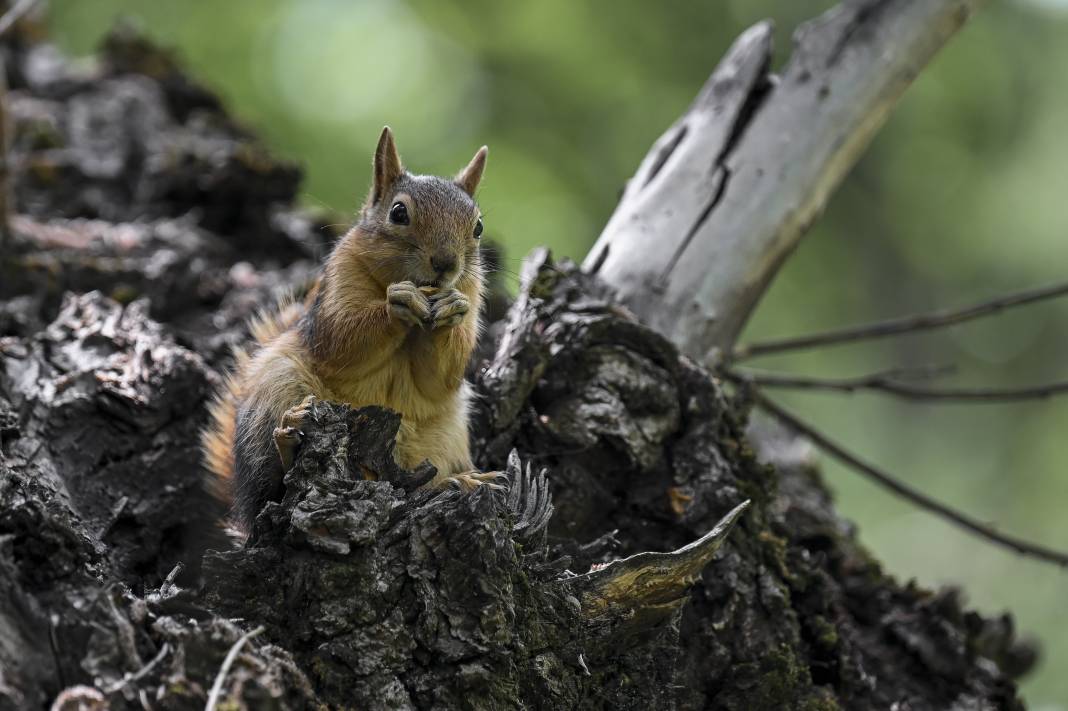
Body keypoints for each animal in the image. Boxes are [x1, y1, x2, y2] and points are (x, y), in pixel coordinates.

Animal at [200, 124, 495, 529]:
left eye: (478, 226)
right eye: (398, 212)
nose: (446, 263)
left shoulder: (472, 294)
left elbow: (439, 379)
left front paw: (449, 310)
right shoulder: (339, 282)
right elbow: (342, 340)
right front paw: (397, 304)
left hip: (446, 435)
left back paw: (457, 480)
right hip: (275, 391)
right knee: (272, 489)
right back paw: (288, 444)